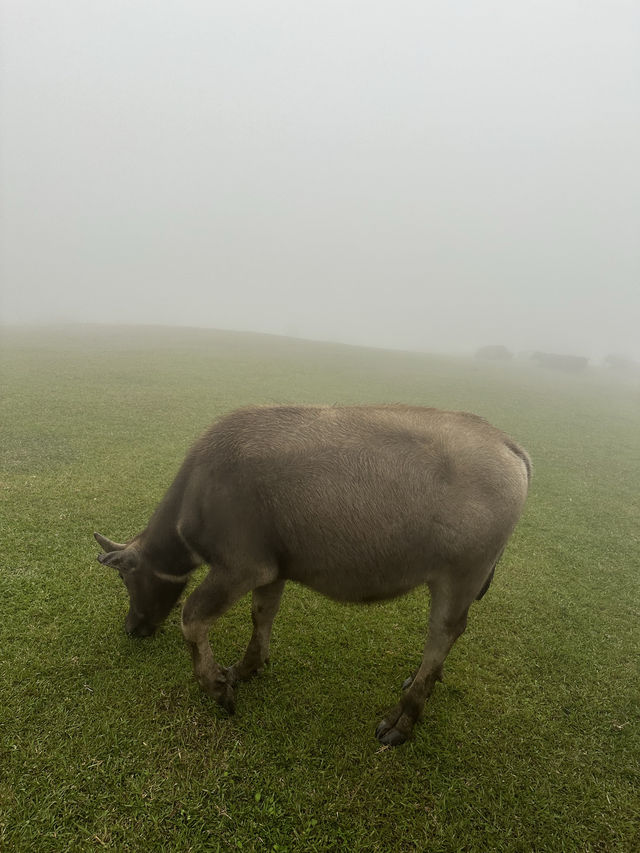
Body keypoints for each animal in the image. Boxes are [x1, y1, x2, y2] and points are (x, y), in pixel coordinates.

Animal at [95, 402, 532, 744]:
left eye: (125, 578)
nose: (132, 627)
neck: (200, 490)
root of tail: (507, 443)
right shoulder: (272, 570)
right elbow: (262, 615)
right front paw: (247, 667)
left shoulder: (241, 568)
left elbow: (192, 618)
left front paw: (216, 686)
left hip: (460, 577)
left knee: (442, 633)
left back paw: (404, 716)